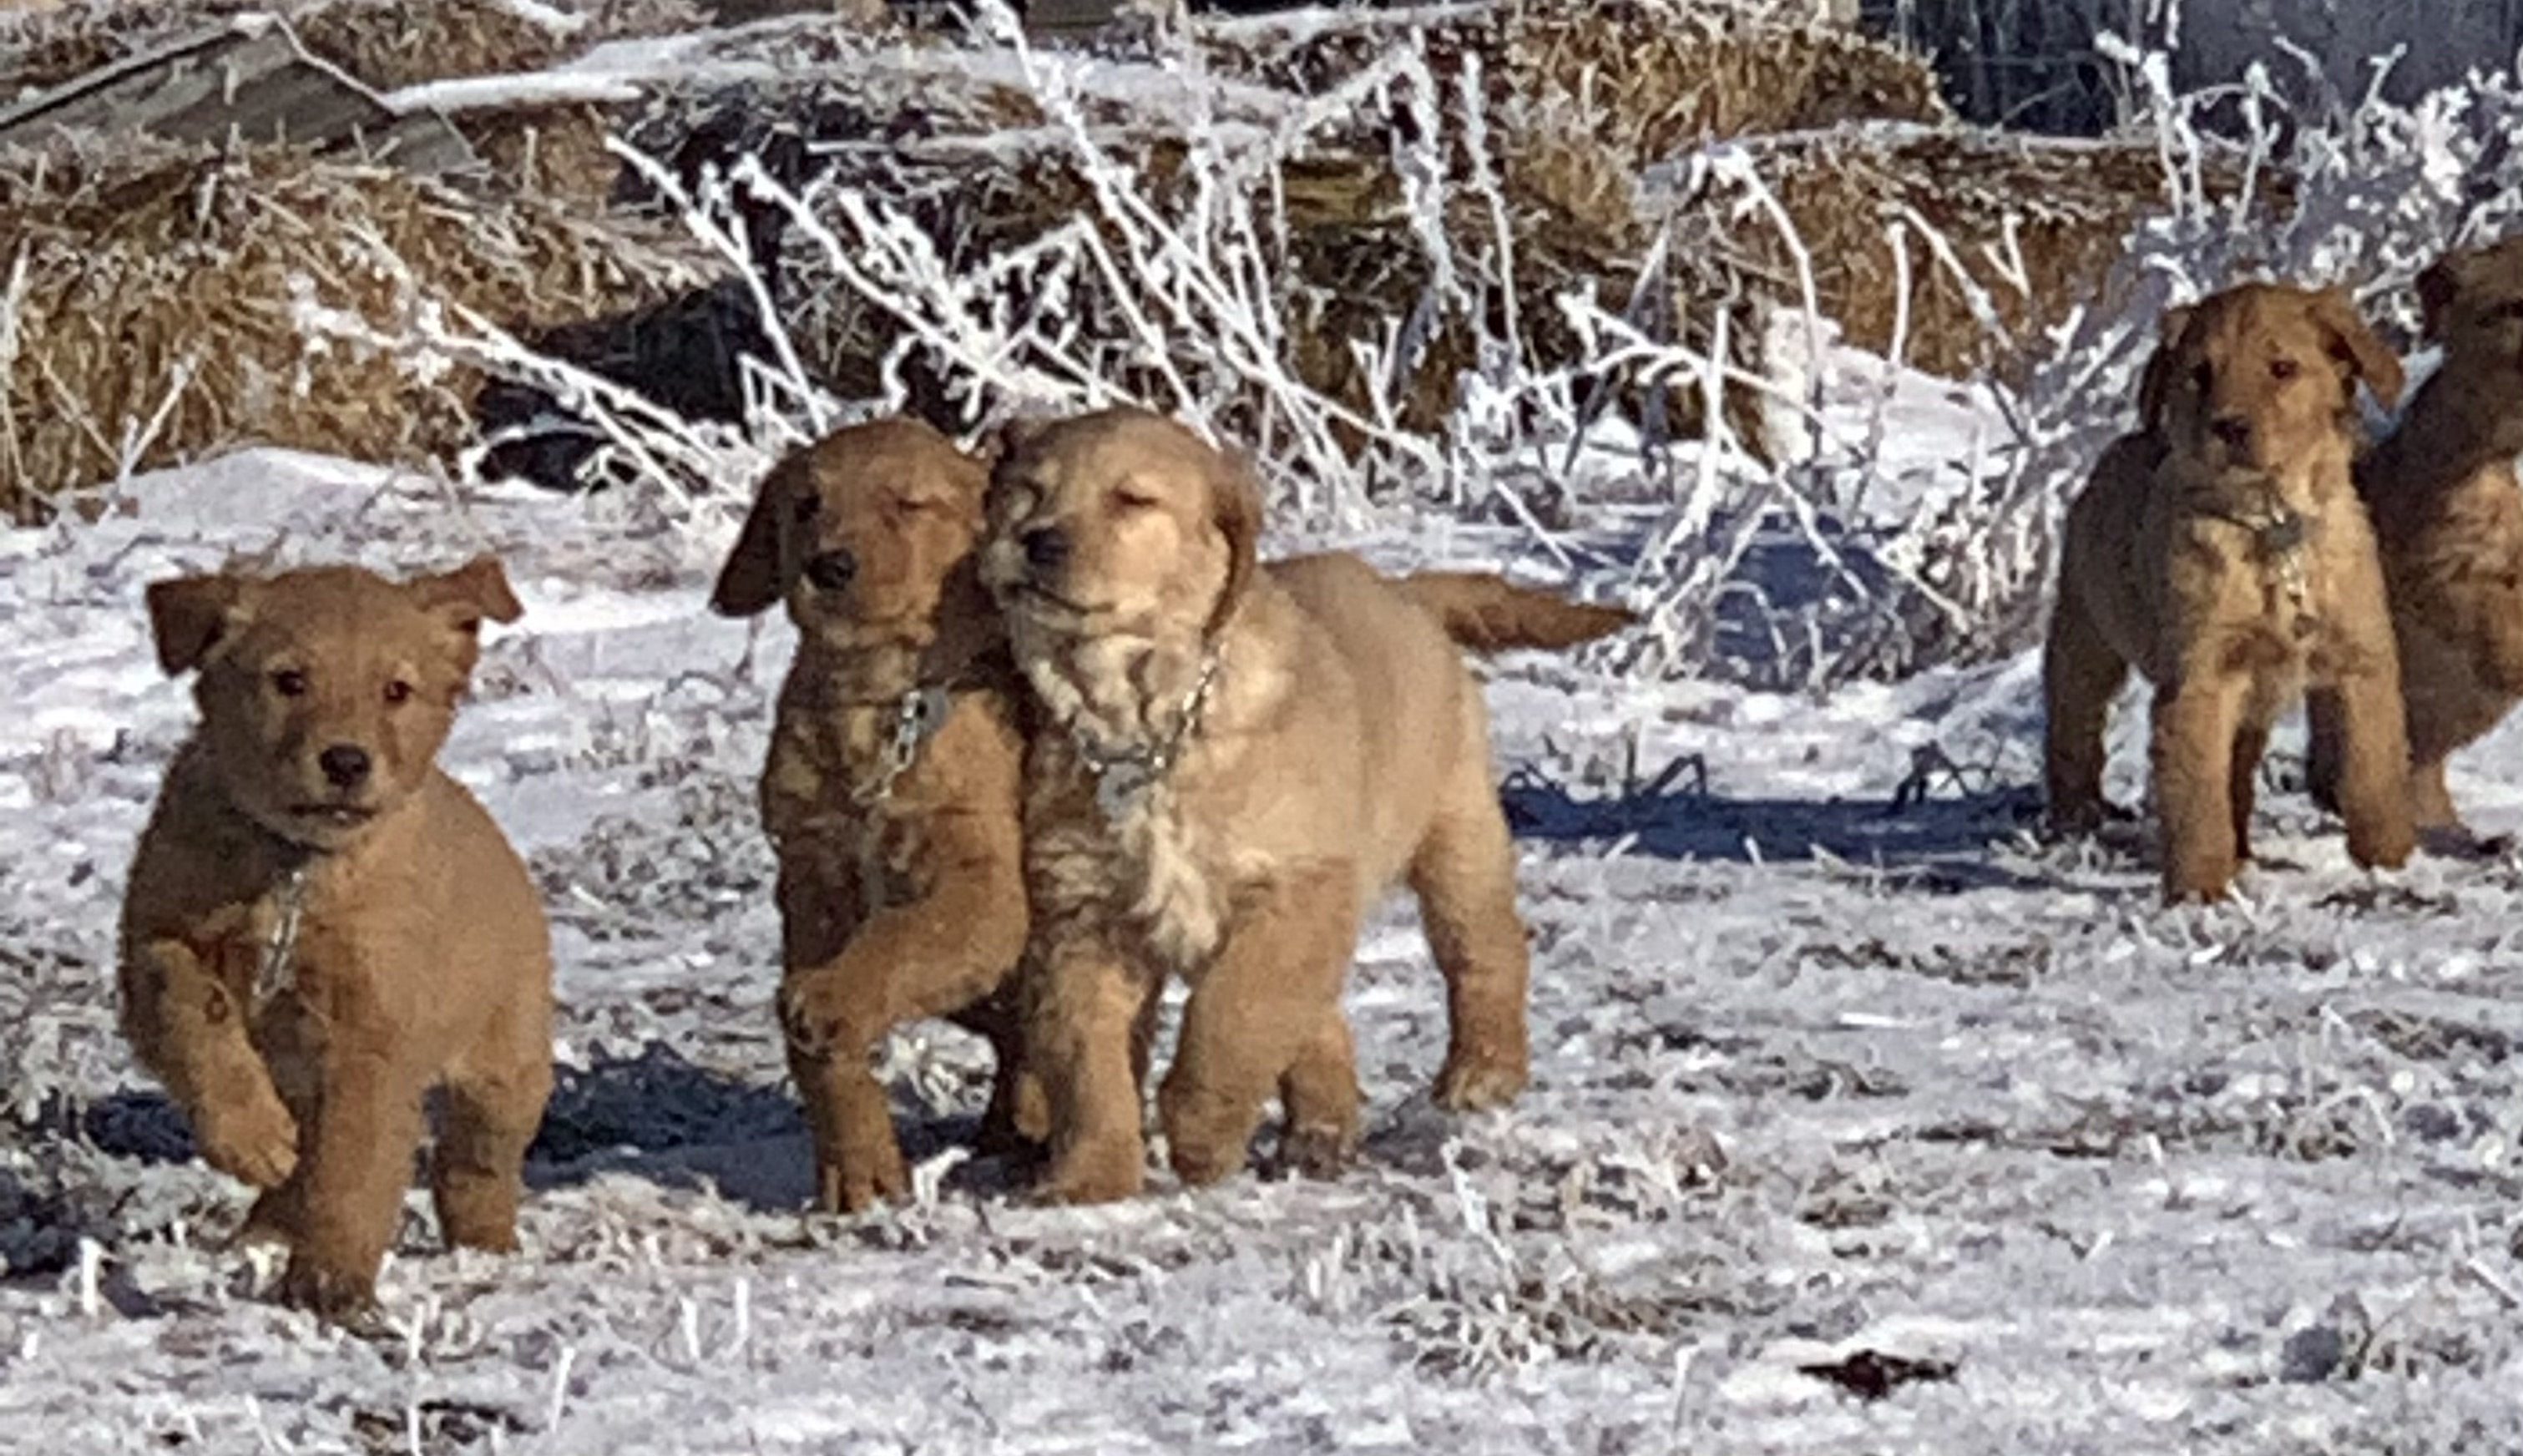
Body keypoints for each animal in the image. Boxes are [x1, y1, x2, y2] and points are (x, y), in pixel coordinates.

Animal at [121, 549, 547, 1312]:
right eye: (289, 681)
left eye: (396, 691)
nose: (346, 762)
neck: (298, 866)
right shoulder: (156, 939)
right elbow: (195, 1014)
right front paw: (250, 1135)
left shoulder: (372, 1037)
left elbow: (353, 1168)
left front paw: (330, 1281)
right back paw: (262, 1226)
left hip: (508, 1063)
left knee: (476, 1163)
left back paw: (484, 1249)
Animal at [711, 413, 1034, 1211]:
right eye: (806, 506)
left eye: (908, 504)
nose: (828, 567)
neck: (875, 704)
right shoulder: (811, 878)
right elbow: (818, 1054)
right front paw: (858, 1167)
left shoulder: (983, 885)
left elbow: (901, 938)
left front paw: (831, 1000)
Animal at [2038, 281, 2412, 898]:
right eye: (2199, 373)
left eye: (2282, 368)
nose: (2229, 427)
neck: (2273, 526)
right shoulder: (2200, 677)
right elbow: (2197, 797)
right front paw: (2201, 890)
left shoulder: (2361, 662)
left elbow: (2374, 771)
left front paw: (2391, 862)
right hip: (2083, 636)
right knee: (2072, 728)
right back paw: (2076, 818)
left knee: (2238, 767)